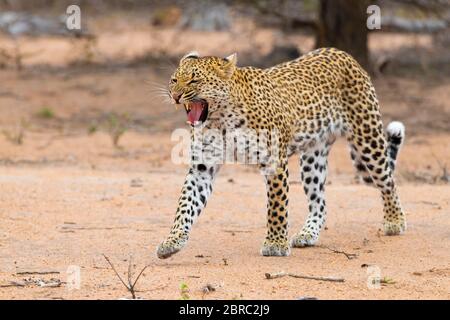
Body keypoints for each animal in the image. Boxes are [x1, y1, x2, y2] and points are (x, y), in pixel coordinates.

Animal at [156, 47, 406, 258]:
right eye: (174, 80)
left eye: (194, 79)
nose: (175, 95)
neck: (220, 120)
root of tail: (342, 53)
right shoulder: (202, 167)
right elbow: (185, 205)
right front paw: (172, 241)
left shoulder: (273, 161)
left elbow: (277, 206)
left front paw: (275, 244)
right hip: (312, 159)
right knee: (319, 202)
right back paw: (307, 234)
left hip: (368, 137)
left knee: (387, 181)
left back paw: (394, 221)